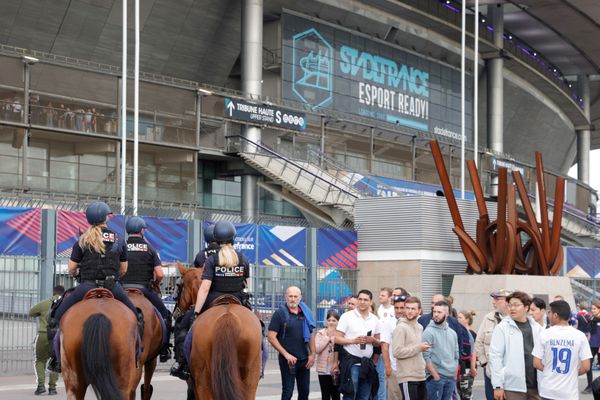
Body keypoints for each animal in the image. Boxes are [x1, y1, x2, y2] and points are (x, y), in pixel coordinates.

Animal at [175, 262, 262, 400]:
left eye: (178, 286)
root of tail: (227, 316)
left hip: (202, 380)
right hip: (250, 380)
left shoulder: (193, 385)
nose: (175, 314)